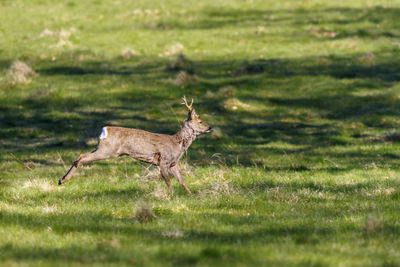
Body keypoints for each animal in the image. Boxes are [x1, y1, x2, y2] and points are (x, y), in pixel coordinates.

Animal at [58, 97, 212, 196]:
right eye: (200, 121)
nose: (210, 127)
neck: (177, 144)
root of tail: (105, 130)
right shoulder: (163, 160)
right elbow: (168, 181)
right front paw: (172, 195)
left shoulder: (173, 163)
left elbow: (182, 181)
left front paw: (191, 195)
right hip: (108, 150)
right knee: (82, 157)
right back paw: (62, 180)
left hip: (101, 148)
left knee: (81, 156)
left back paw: (62, 179)